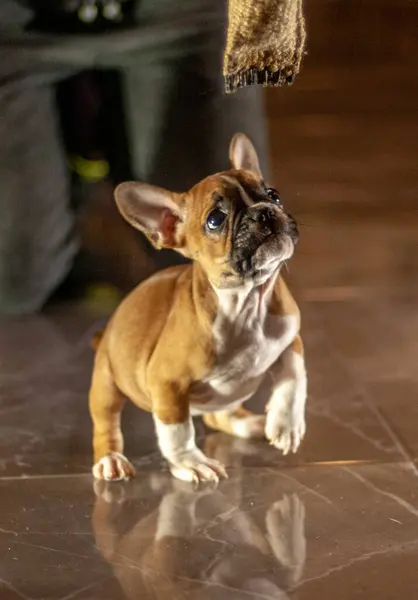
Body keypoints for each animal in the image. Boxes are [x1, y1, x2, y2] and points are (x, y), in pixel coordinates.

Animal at [89, 132, 306, 482]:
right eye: (215, 220)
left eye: (274, 195)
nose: (264, 212)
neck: (245, 305)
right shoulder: (167, 383)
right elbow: (177, 431)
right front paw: (191, 462)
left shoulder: (290, 340)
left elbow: (294, 380)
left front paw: (285, 424)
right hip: (106, 384)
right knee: (106, 423)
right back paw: (110, 459)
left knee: (219, 415)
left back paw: (250, 423)